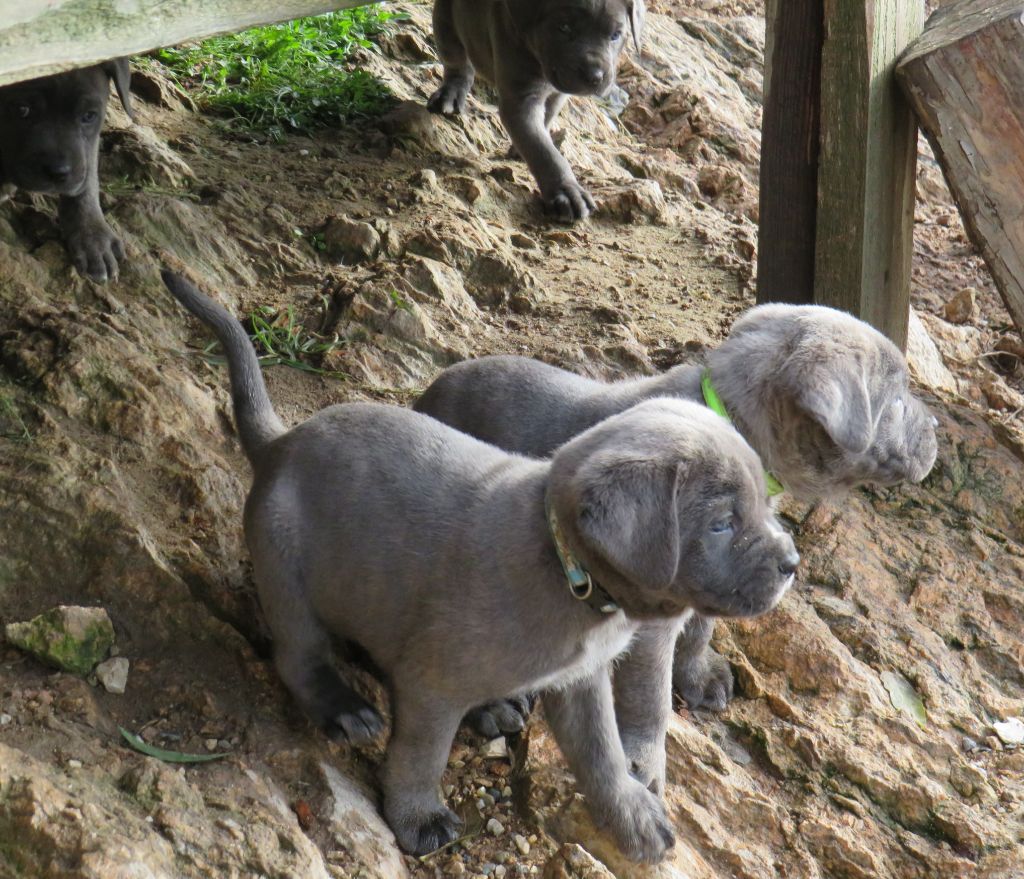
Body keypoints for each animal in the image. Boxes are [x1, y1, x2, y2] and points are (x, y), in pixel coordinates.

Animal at [0, 61, 134, 280]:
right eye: (22, 109)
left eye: (88, 116)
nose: (58, 172)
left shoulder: (87, 151)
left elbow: (87, 181)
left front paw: (93, 238)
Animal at [161, 270, 798, 860]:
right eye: (721, 523)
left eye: (764, 504)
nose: (793, 562)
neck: (565, 570)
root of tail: (281, 443)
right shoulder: (431, 684)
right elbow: (421, 755)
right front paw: (417, 817)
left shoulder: (580, 680)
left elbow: (604, 754)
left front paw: (632, 815)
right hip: (287, 574)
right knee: (299, 656)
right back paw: (344, 708)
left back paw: (493, 707)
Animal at [428, 0, 643, 221]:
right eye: (564, 27)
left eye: (615, 35)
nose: (595, 76)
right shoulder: (520, 100)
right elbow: (541, 148)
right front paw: (566, 192)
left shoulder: (557, 93)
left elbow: (545, 121)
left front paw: (520, 148)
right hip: (446, 19)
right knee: (457, 61)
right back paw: (451, 95)